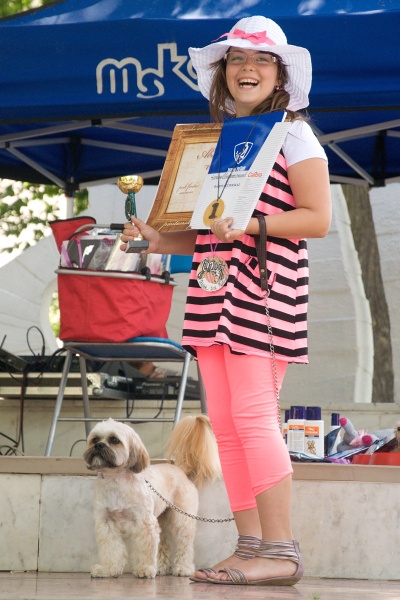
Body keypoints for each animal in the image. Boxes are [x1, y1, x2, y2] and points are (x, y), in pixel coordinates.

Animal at [83, 415, 220, 578]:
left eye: (114, 440)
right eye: (95, 439)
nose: (99, 446)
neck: (116, 479)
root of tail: (179, 469)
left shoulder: (145, 524)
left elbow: (145, 549)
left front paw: (144, 569)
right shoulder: (106, 523)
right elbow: (111, 550)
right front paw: (108, 569)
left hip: (181, 520)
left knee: (184, 545)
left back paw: (183, 568)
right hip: (161, 519)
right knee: (163, 543)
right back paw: (160, 567)